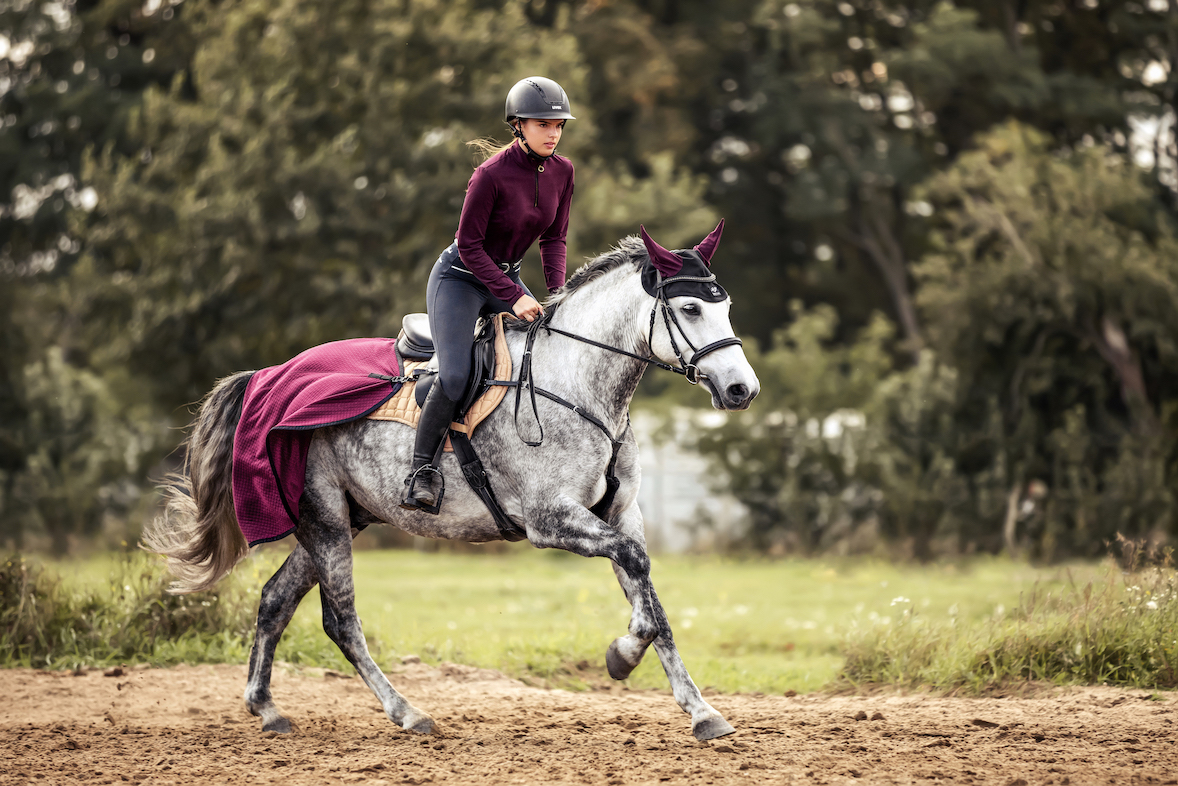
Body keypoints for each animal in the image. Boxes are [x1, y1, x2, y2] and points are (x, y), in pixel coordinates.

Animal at [142, 223, 758, 740]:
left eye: (726, 306)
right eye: (690, 308)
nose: (741, 390)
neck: (575, 384)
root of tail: (269, 376)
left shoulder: (619, 514)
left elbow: (652, 598)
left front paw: (700, 710)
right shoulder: (552, 520)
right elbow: (638, 577)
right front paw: (623, 654)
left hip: (342, 518)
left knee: (274, 600)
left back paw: (266, 708)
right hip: (325, 520)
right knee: (341, 622)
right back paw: (407, 713)